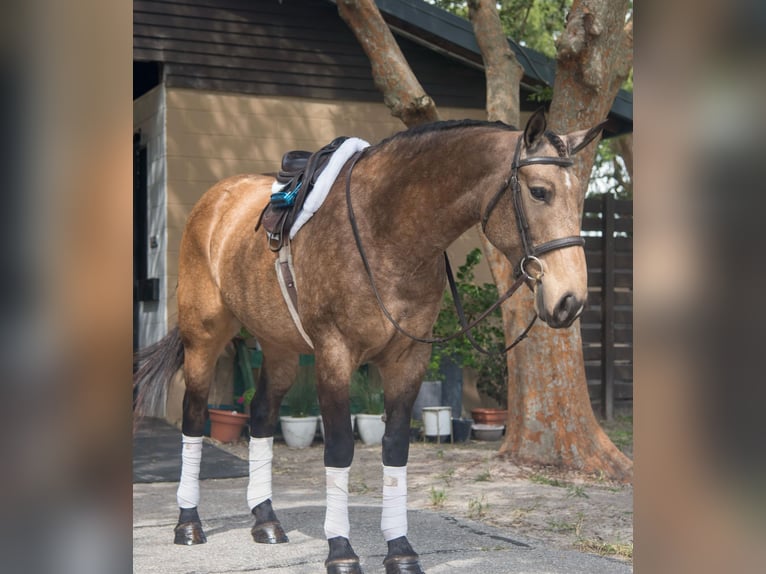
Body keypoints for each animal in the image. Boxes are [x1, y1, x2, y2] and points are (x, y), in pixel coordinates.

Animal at [135, 109, 608, 574]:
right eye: (540, 191)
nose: (569, 300)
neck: (385, 230)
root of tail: (215, 199)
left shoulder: (409, 358)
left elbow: (395, 448)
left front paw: (400, 549)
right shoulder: (334, 355)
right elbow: (340, 448)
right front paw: (341, 550)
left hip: (280, 348)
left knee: (262, 416)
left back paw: (266, 520)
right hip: (204, 338)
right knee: (195, 417)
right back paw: (188, 524)